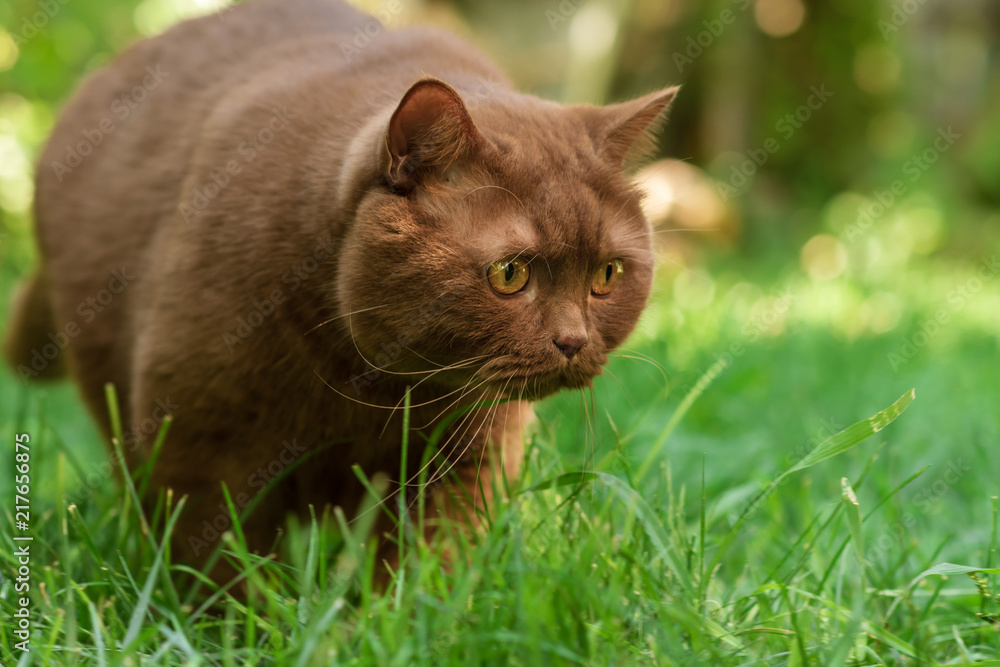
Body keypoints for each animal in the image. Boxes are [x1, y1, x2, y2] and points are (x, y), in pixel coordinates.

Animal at [3, 0, 676, 576]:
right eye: (510, 274)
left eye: (607, 275)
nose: (573, 341)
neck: (372, 386)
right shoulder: (200, 445)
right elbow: (219, 570)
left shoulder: (466, 457)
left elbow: (428, 565)